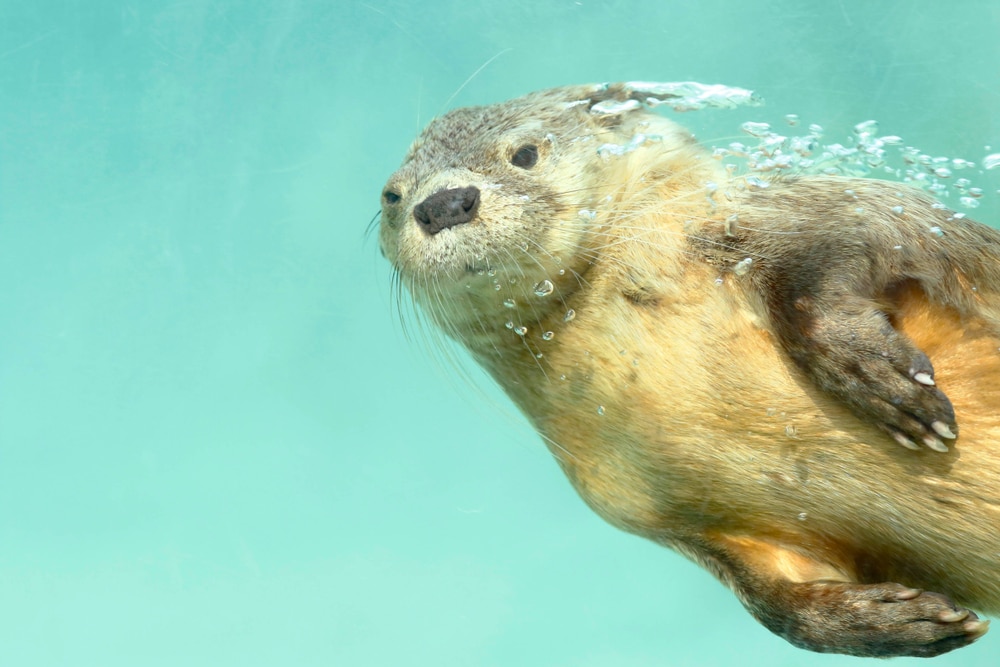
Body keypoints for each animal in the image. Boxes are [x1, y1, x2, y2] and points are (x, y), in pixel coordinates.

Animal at [377, 82, 1000, 658]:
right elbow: (779, 608)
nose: (443, 203)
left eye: (525, 153)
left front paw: (879, 379)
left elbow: (852, 241)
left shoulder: (816, 209)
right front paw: (889, 621)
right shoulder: (668, 516)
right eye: (391, 195)